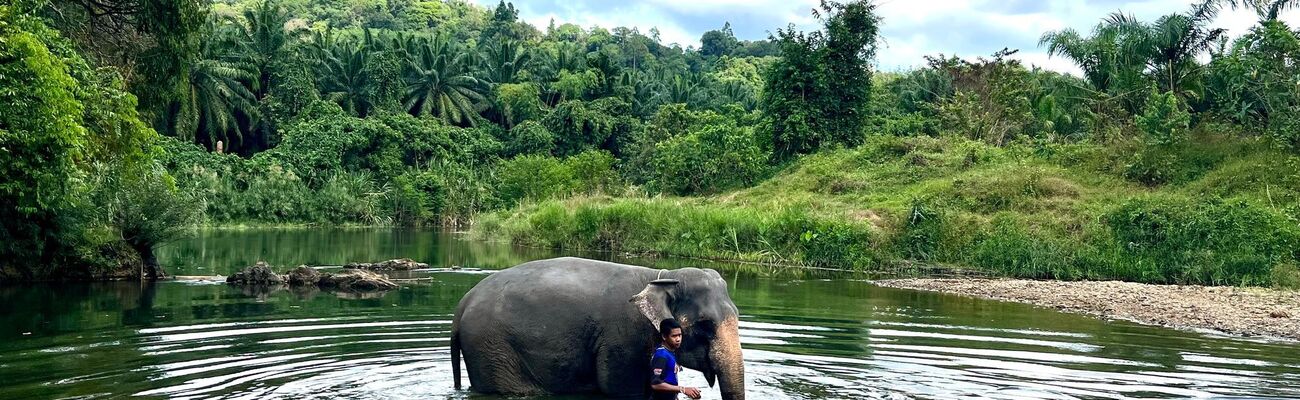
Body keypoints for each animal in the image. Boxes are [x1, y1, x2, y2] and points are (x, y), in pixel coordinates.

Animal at [452, 258, 748, 397]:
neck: (662, 277)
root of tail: (462, 304)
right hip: (492, 348)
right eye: (705, 325)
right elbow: (619, 388)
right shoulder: (622, 338)